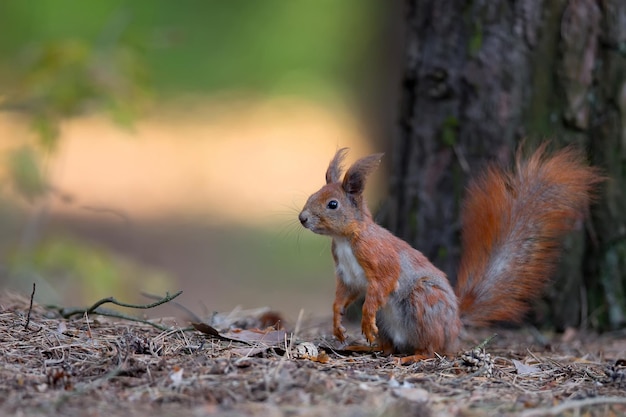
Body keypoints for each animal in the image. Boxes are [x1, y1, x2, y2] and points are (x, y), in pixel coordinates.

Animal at [298, 144, 600, 358]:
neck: (345, 239)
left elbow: (381, 284)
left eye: (333, 204)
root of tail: (455, 324)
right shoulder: (346, 274)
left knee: (432, 349)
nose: (302, 218)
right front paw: (338, 324)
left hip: (422, 302)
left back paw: (414, 356)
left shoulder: (379, 256)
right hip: (391, 322)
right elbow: (343, 296)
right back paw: (365, 348)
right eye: (311, 195)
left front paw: (365, 319)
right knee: (390, 348)